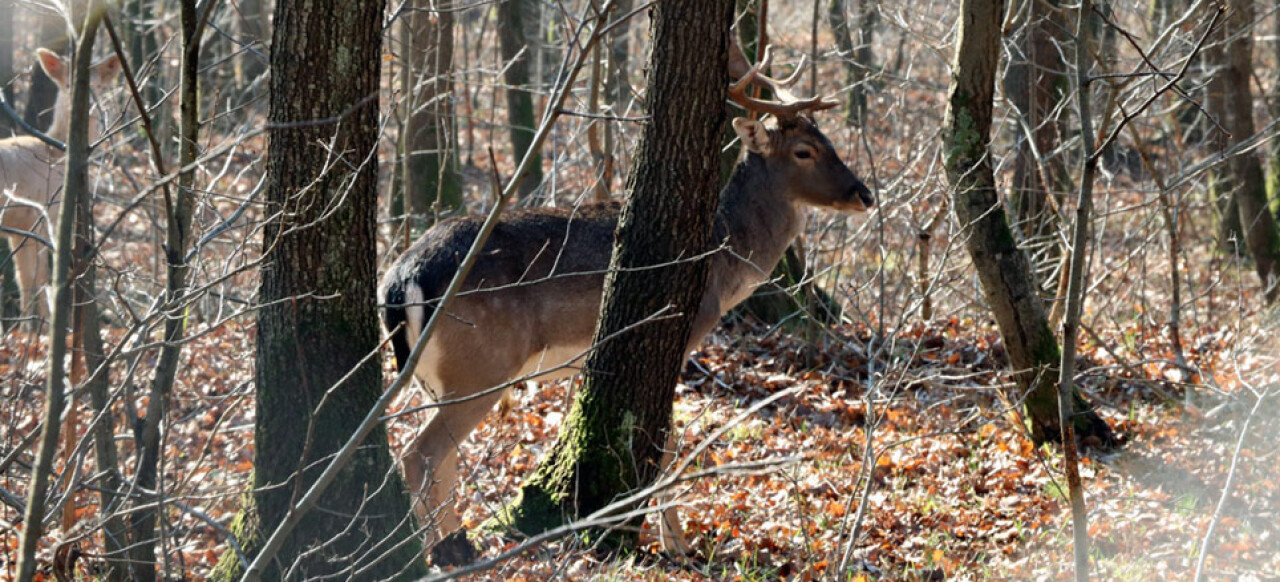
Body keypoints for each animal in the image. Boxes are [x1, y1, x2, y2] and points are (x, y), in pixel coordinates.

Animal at [0, 48, 122, 323]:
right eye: (69, 86)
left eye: (99, 87)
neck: (55, 154)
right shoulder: (43, 213)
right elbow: (41, 278)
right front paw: (44, 328)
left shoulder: (19, 227)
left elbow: (23, 279)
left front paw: (26, 327)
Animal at [373, 46, 875, 565]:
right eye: (804, 151)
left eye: (828, 140)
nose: (865, 194)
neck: (722, 259)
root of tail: (401, 279)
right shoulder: (684, 331)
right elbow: (667, 439)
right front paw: (678, 543)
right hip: (481, 364)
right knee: (422, 454)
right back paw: (445, 550)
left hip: (438, 378)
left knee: (436, 456)